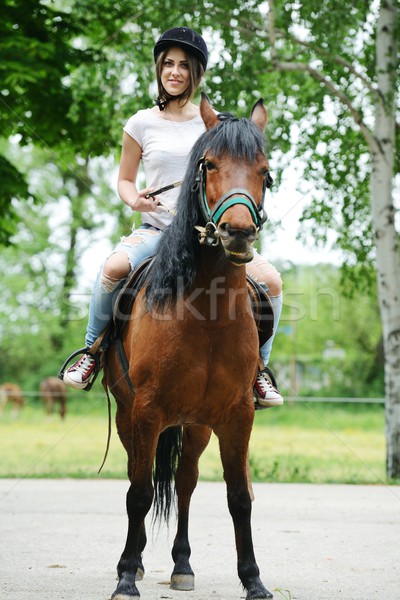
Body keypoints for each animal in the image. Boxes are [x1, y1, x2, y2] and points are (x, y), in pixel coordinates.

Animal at [106, 95, 274, 600]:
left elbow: (239, 497)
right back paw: (138, 562)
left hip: (196, 424)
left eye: (264, 171)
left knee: (185, 482)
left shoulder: (237, 414)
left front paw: (253, 579)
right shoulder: (146, 411)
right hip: (129, 417)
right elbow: (139, 492)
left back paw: (182, 564)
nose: (238, 230)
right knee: (136, 477)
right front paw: (126, 575)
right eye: (210, 164)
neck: (207, 316)